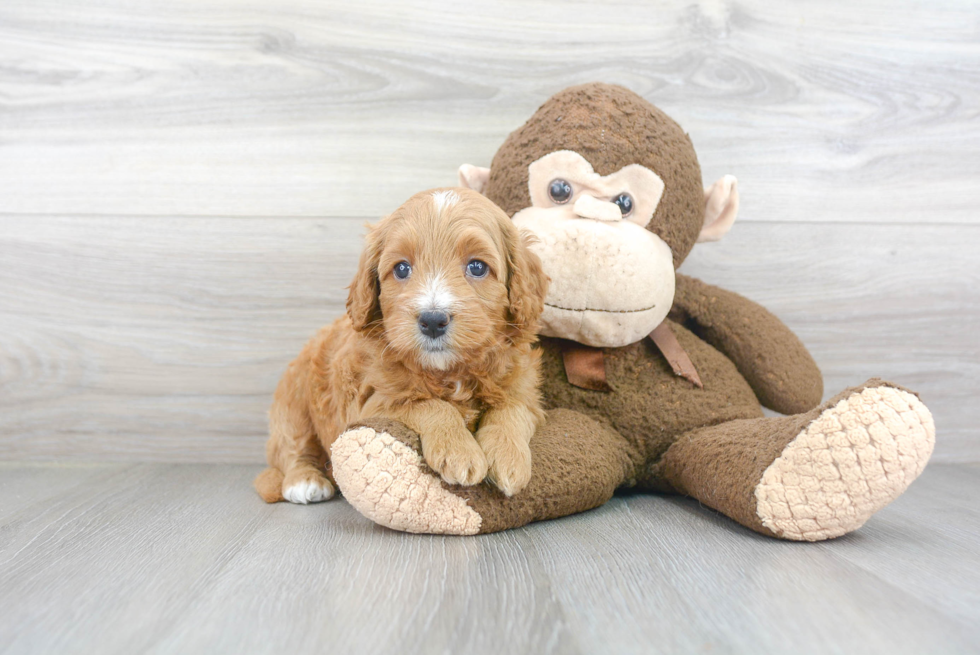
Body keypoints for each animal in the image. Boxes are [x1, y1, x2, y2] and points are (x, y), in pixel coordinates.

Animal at [255, 187, 552, 504]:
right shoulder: (373, 403)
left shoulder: (524, 391)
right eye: (401, 269)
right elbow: (428, 405)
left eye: (477, 267)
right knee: (292, 448)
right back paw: (305, 481)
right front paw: (459, 452)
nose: (432, 320)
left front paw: (509, 459)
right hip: (293, 402)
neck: (450, 372)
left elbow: (511, 410)